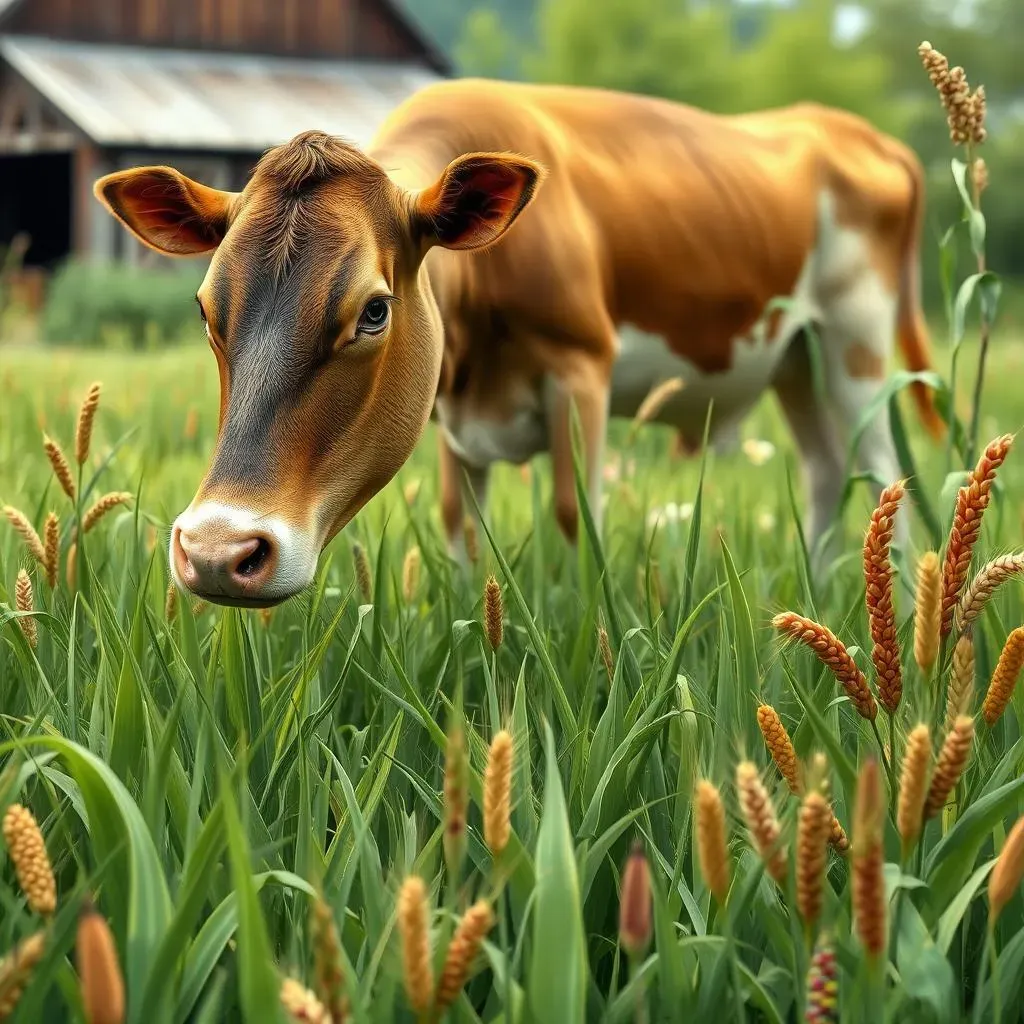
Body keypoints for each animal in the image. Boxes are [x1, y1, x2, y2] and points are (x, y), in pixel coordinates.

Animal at [94, 81, 942, 606]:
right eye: (206, 310)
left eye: (374, 311)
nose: (217, 551)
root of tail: (843, 125)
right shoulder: (448, 411)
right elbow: (459, 523)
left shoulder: (583, 368)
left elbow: (576, 512)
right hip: (793, 358)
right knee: (826, 468)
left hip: (855, 342)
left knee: (883, 473)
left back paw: (897, 612)